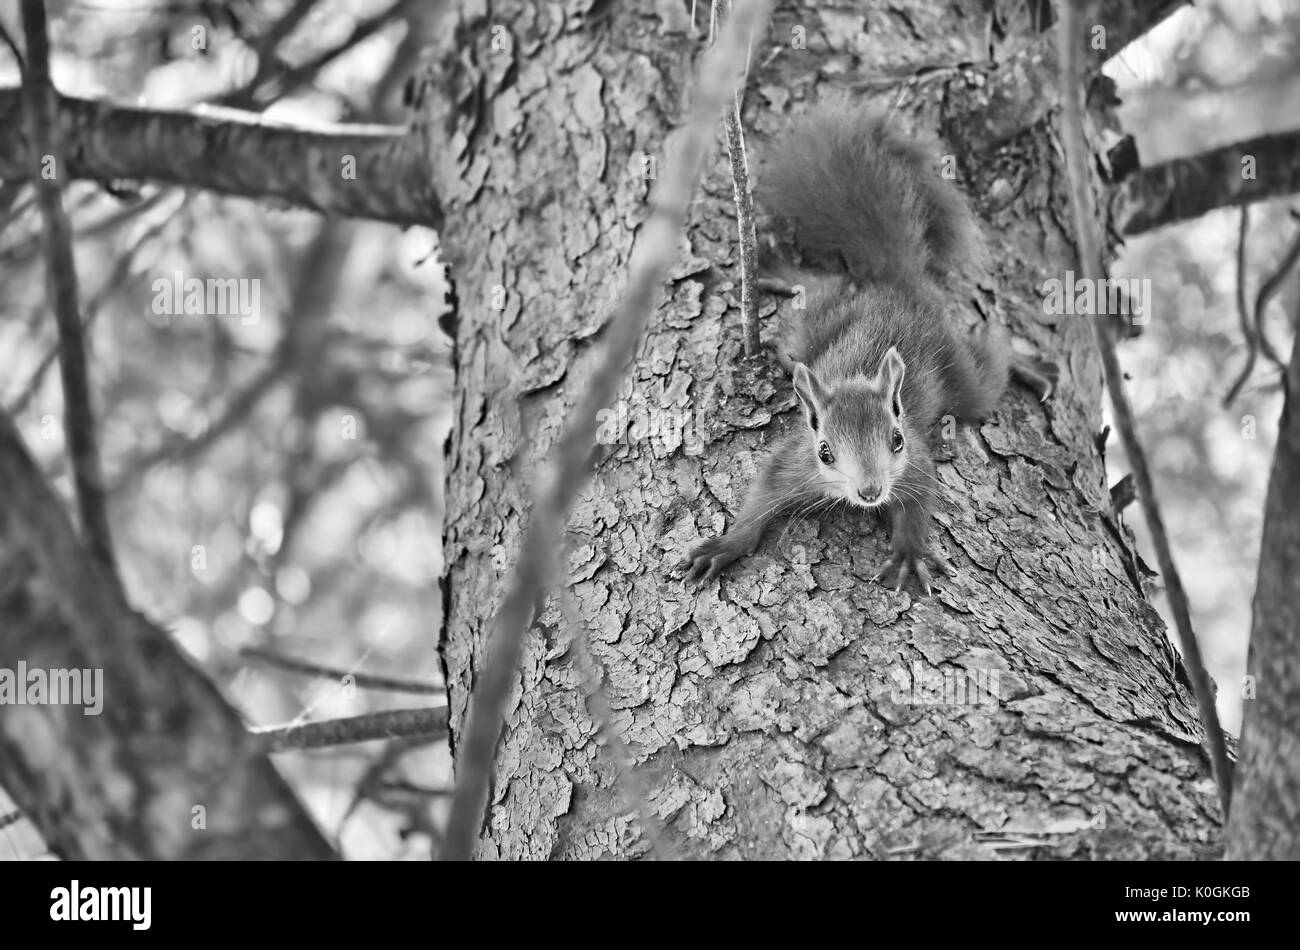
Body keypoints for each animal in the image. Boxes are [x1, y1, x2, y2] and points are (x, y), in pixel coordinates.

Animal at [683, 103, 1058, 595]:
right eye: (825, 452)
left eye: (896, 439)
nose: (871, 492)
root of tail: (897, 287)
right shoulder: (793, 462)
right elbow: (757, 503)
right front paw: (725, 546)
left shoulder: (914, 463)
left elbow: (918, 502)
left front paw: (909, 553)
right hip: (809, 331)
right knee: (820, 288)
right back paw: (782, 271)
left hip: (960, 372)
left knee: (989, 365)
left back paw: (1030, 367)